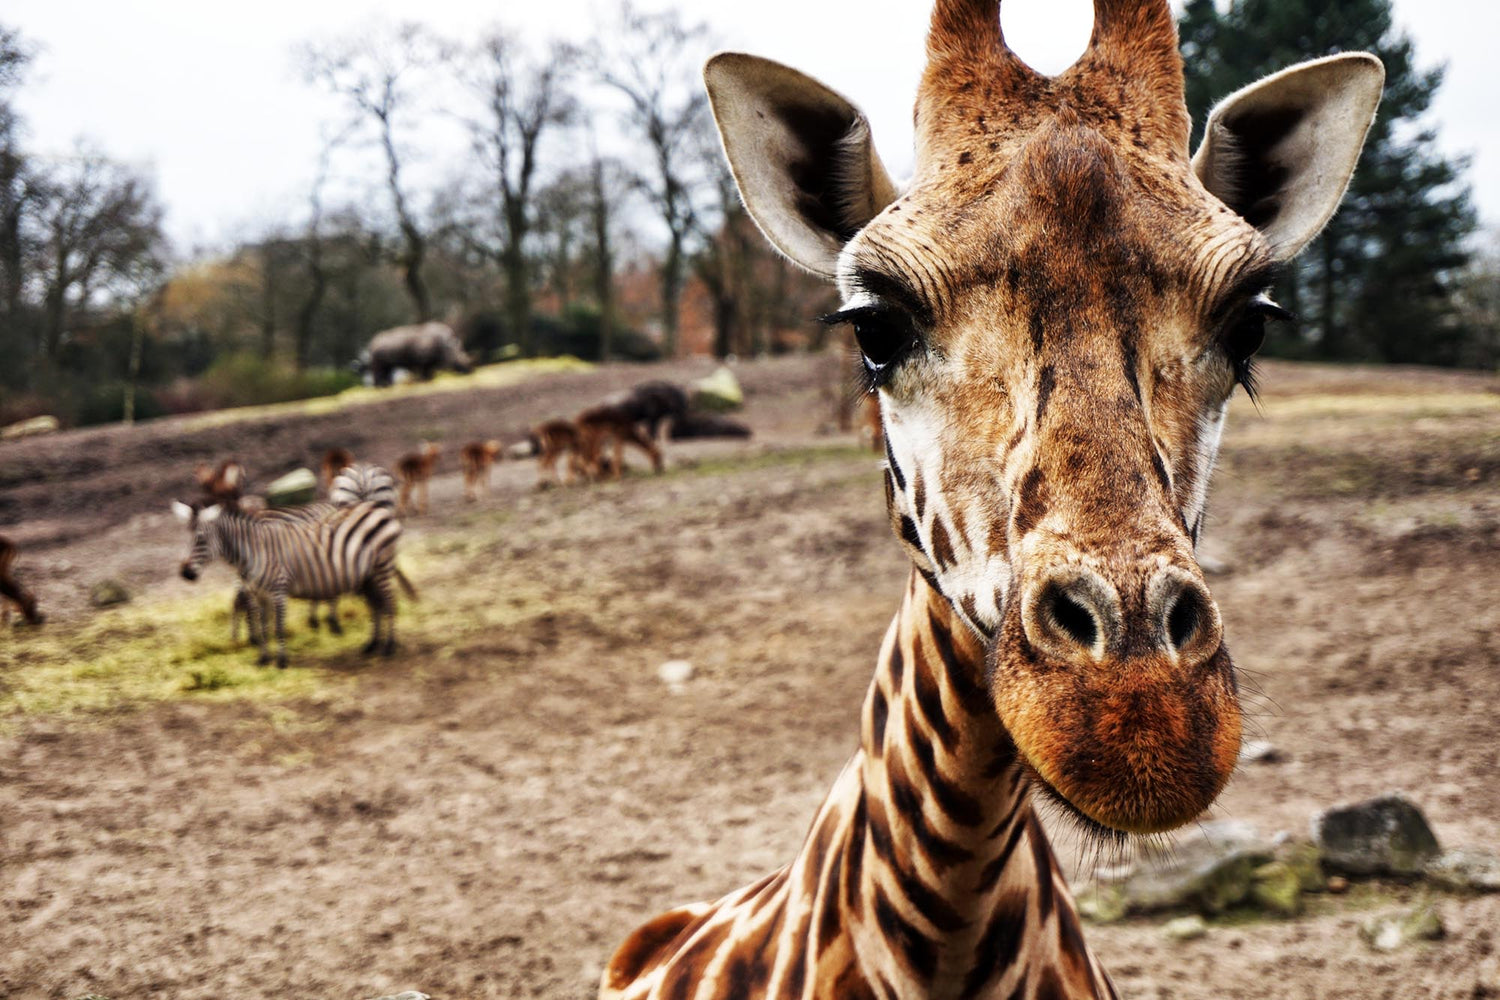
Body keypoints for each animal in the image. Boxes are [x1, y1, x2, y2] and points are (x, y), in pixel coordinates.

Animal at [174, 497, 405, 668]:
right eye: (189, 540)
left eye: (201, 539)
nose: (185, 573)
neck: (254, 551)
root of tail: (375, 507)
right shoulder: (260, 594)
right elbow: (264, 627)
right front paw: (264, 659)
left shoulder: (278, 591)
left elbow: (278, 628)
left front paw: (282, 662)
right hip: (368, 575)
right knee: (376, 604)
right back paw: (372, 645)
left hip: (382, 566)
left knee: (390, 602)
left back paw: (389, 647)